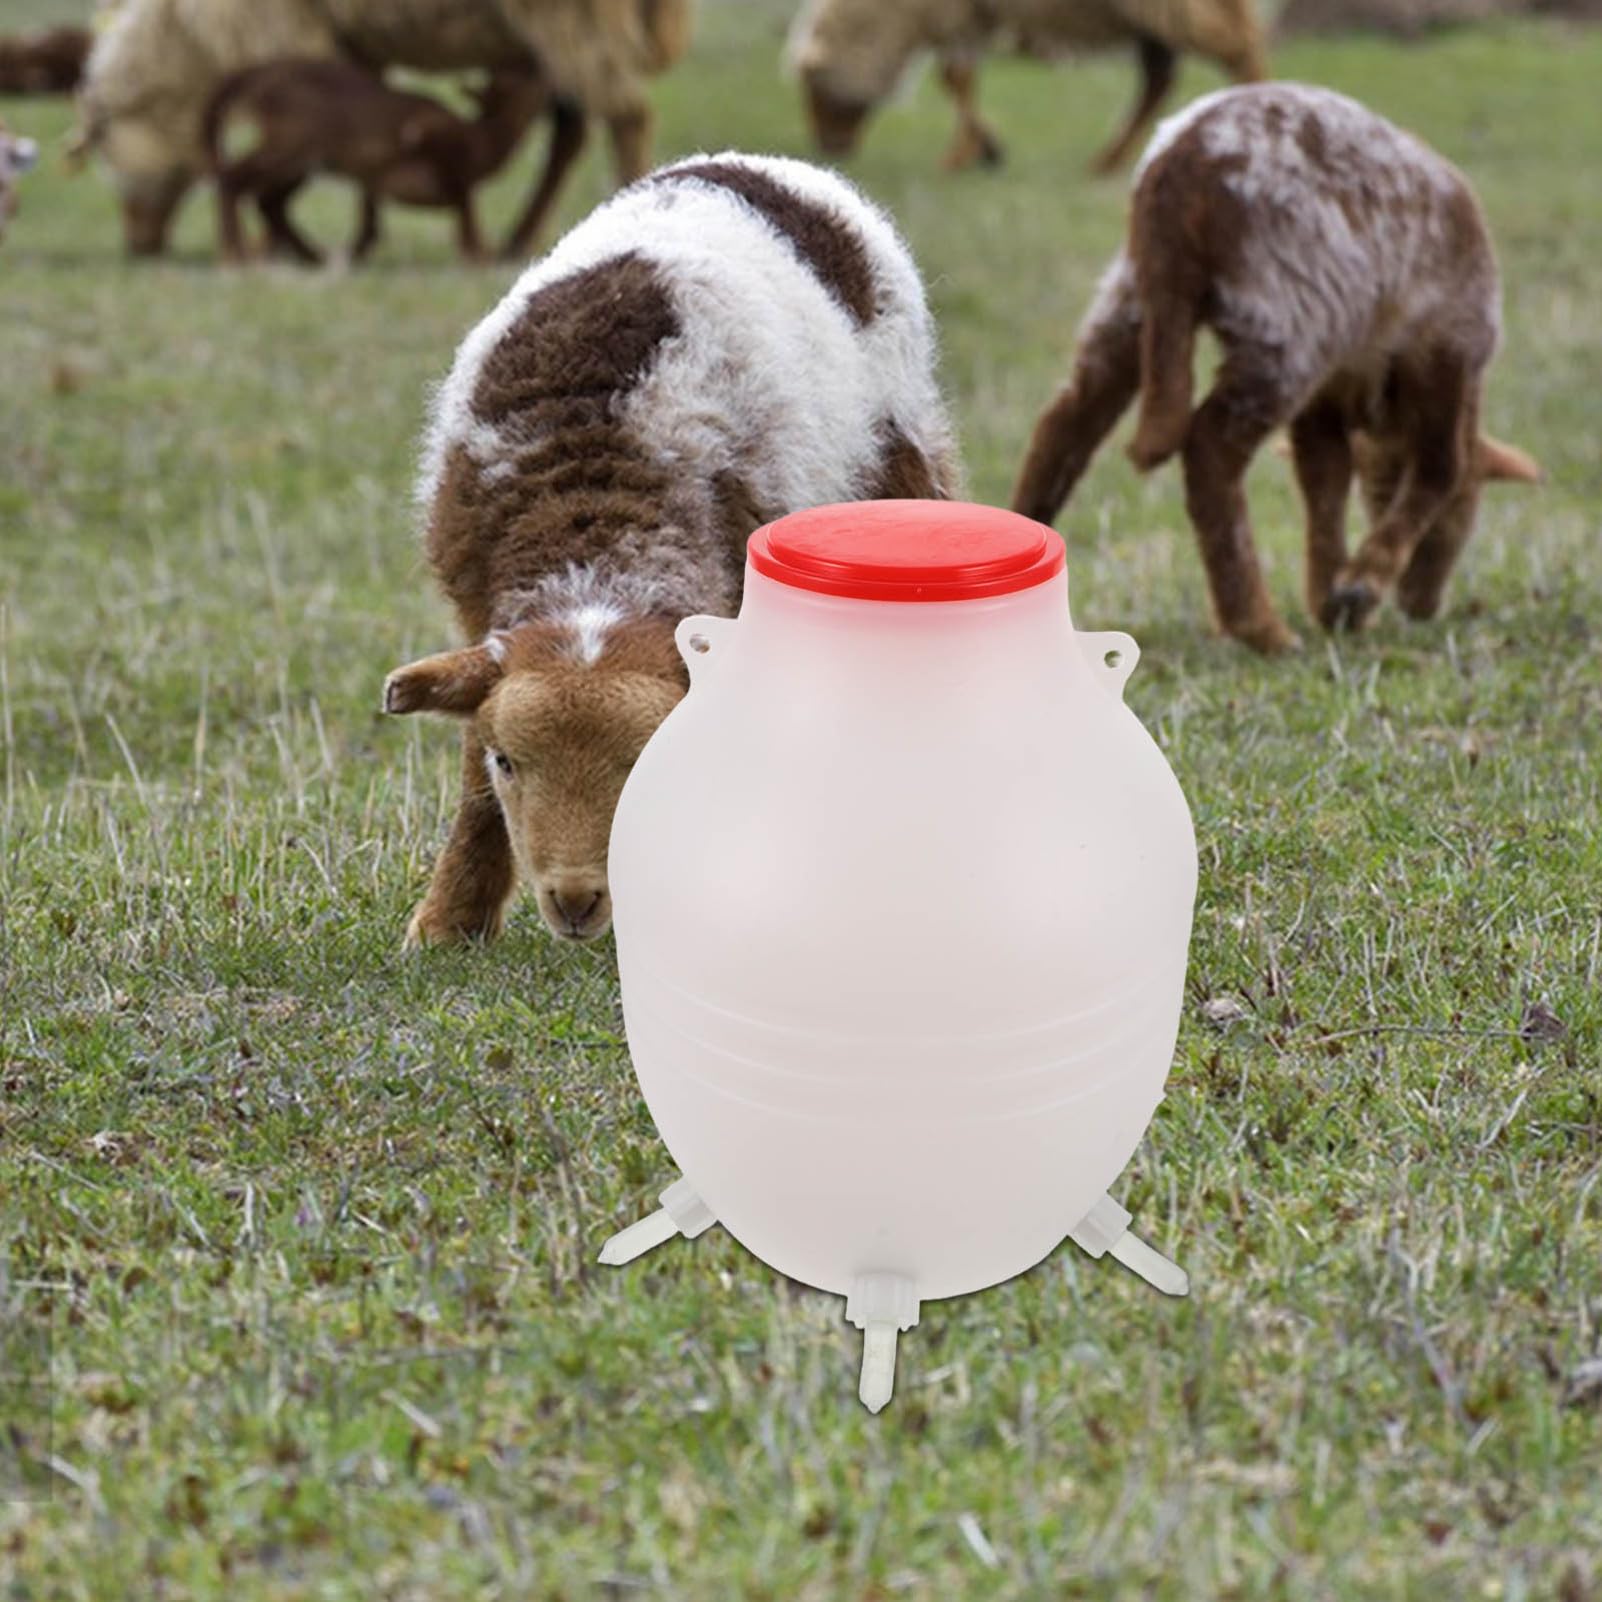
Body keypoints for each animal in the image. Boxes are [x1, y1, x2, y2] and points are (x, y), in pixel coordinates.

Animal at [205, 61, 548, 265]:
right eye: (519, 78)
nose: (540, 68)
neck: (483, 141)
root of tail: (258, 75)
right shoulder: (432, 134)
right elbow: (465, 203)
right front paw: (479, 254)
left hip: (303, 159)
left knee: (267, 201)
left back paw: (315, 256)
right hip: (294, 142)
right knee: (233, 178)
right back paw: (234, 255)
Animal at [382, 152, 959, 945]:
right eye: (509, 761)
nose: (575, 899)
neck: (594, 512)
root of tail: (757, 162)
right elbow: (471, 776)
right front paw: (448, 923)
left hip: (904, 449)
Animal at [786, 0, 1268, 176]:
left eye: (814, 87)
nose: (827, 146)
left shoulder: (955, 11)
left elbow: (954, 77)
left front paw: (965, 155)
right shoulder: (969, 15)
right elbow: (960, 78)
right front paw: (983, 149)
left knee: (1239, 45)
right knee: (1158, 80)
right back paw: (1108, 161)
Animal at [1010, 84, 1541, 654]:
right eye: (1468, 512)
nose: (1422, 605)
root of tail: (1179, 167)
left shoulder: (1329, 396)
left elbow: (1325, 481)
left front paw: (1331, 596)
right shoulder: (1449, 347)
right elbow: (1441, 467)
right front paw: (1359, 588)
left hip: (1132, 298)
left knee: (1068, 420)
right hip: (1285, 316)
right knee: (1209, 451)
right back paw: (1260, 629)